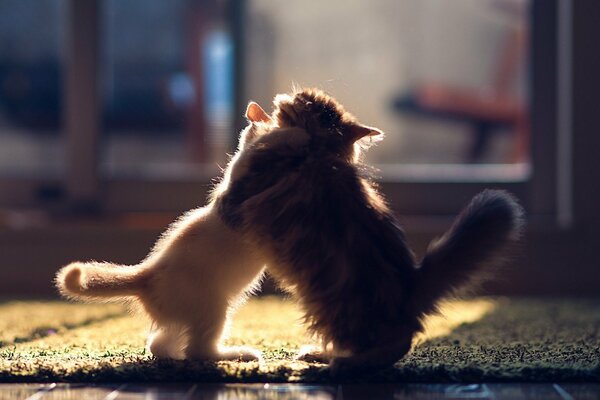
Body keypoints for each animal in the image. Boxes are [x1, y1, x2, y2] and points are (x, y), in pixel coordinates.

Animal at [54, 102, 274, 362]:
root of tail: (147, 274)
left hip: (185, 316)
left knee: (159, 343)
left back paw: (174, 355)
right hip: (212, 306)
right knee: (198, 350)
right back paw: (236, 355)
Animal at [217, 88, 524, 376]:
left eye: (303, 99)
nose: (290, 93)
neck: (320, 152)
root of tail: (411, 283)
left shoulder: (243, 190)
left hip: (335, 307)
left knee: (394, 345)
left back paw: (340, 364)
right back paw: (320, 355)